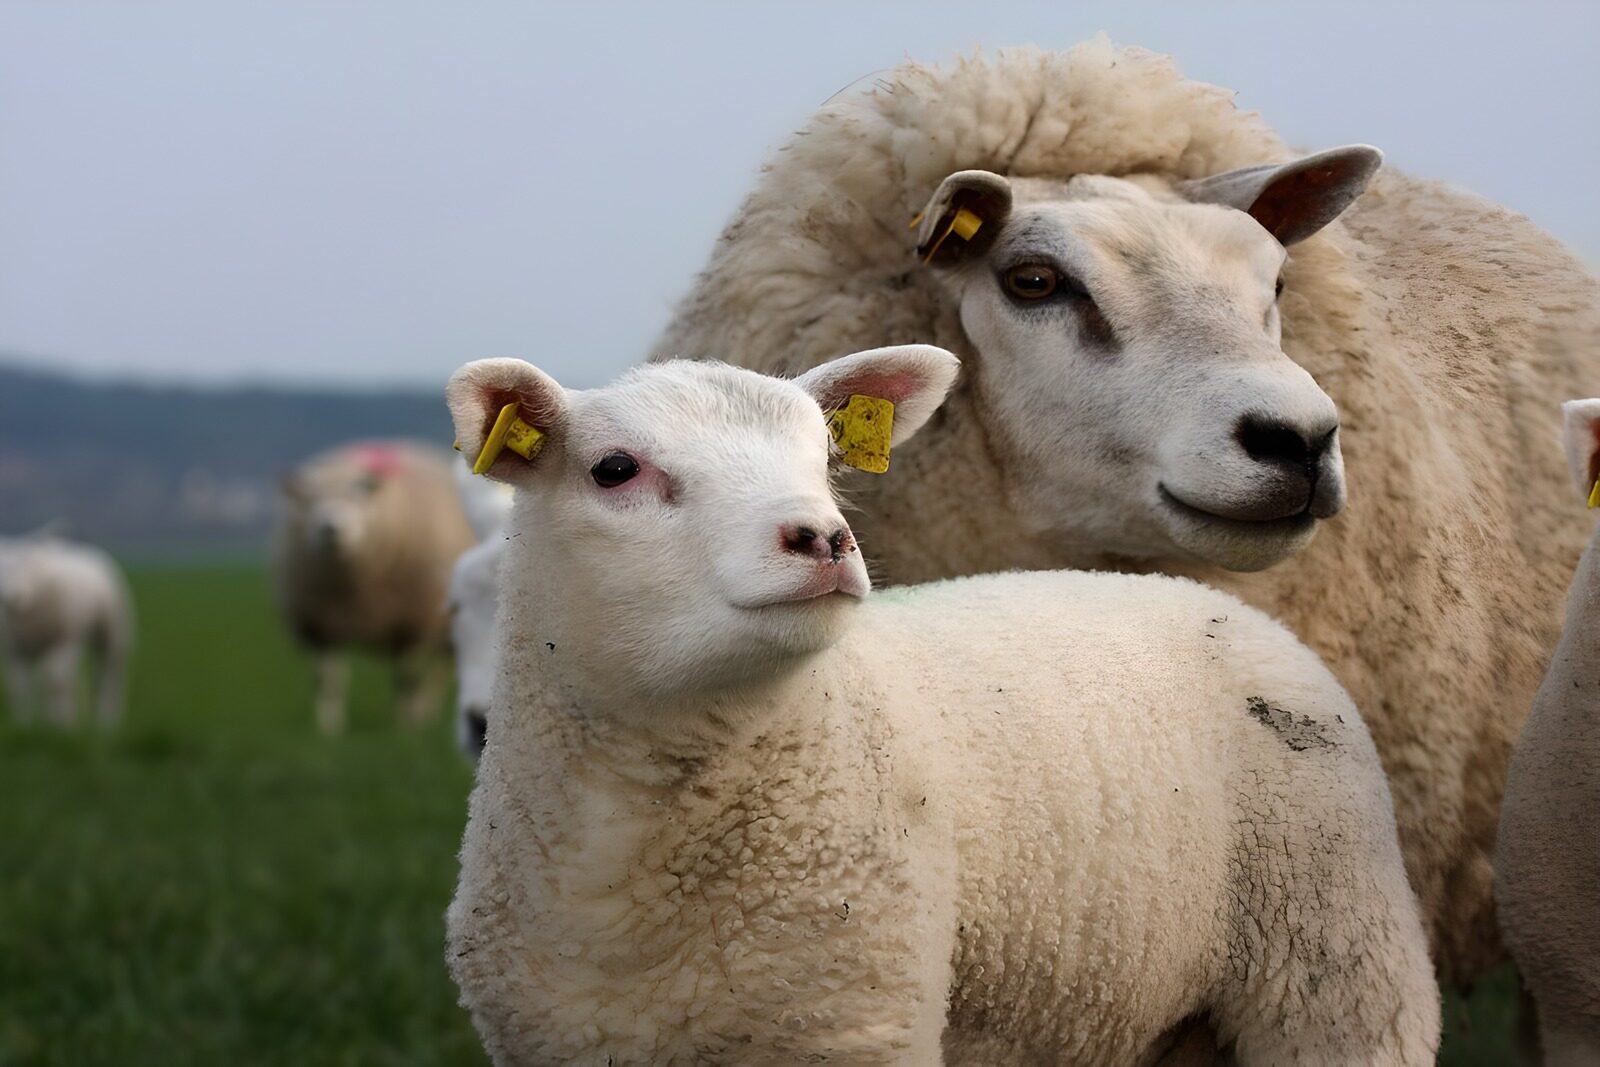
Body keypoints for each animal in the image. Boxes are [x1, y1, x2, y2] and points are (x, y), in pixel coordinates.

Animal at [0, 531, 133, 727]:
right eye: (3, 569)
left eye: (27, 564)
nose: (13, 596)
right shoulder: (16, 649)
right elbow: (19, 687)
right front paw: (25, 724)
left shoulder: (64, 640)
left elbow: (57, 682)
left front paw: (61, 725)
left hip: (112, 634)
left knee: (109, 676)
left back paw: (106, 721)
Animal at [273, 440, 476, 733]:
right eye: (310, 500)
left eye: (355, 496)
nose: (330, 528)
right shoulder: (322, 628)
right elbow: (327, 680)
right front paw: (328, 726)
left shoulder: (411, 624)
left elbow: (406, 678)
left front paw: (404, 726)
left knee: (440, 673)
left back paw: (423, 713)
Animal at [442, 346, 1439, 1066]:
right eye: (614, 469)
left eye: (826, 458)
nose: (824, 537)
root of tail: (1210, 598)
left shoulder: (851, 1024)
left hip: (1339, 963)